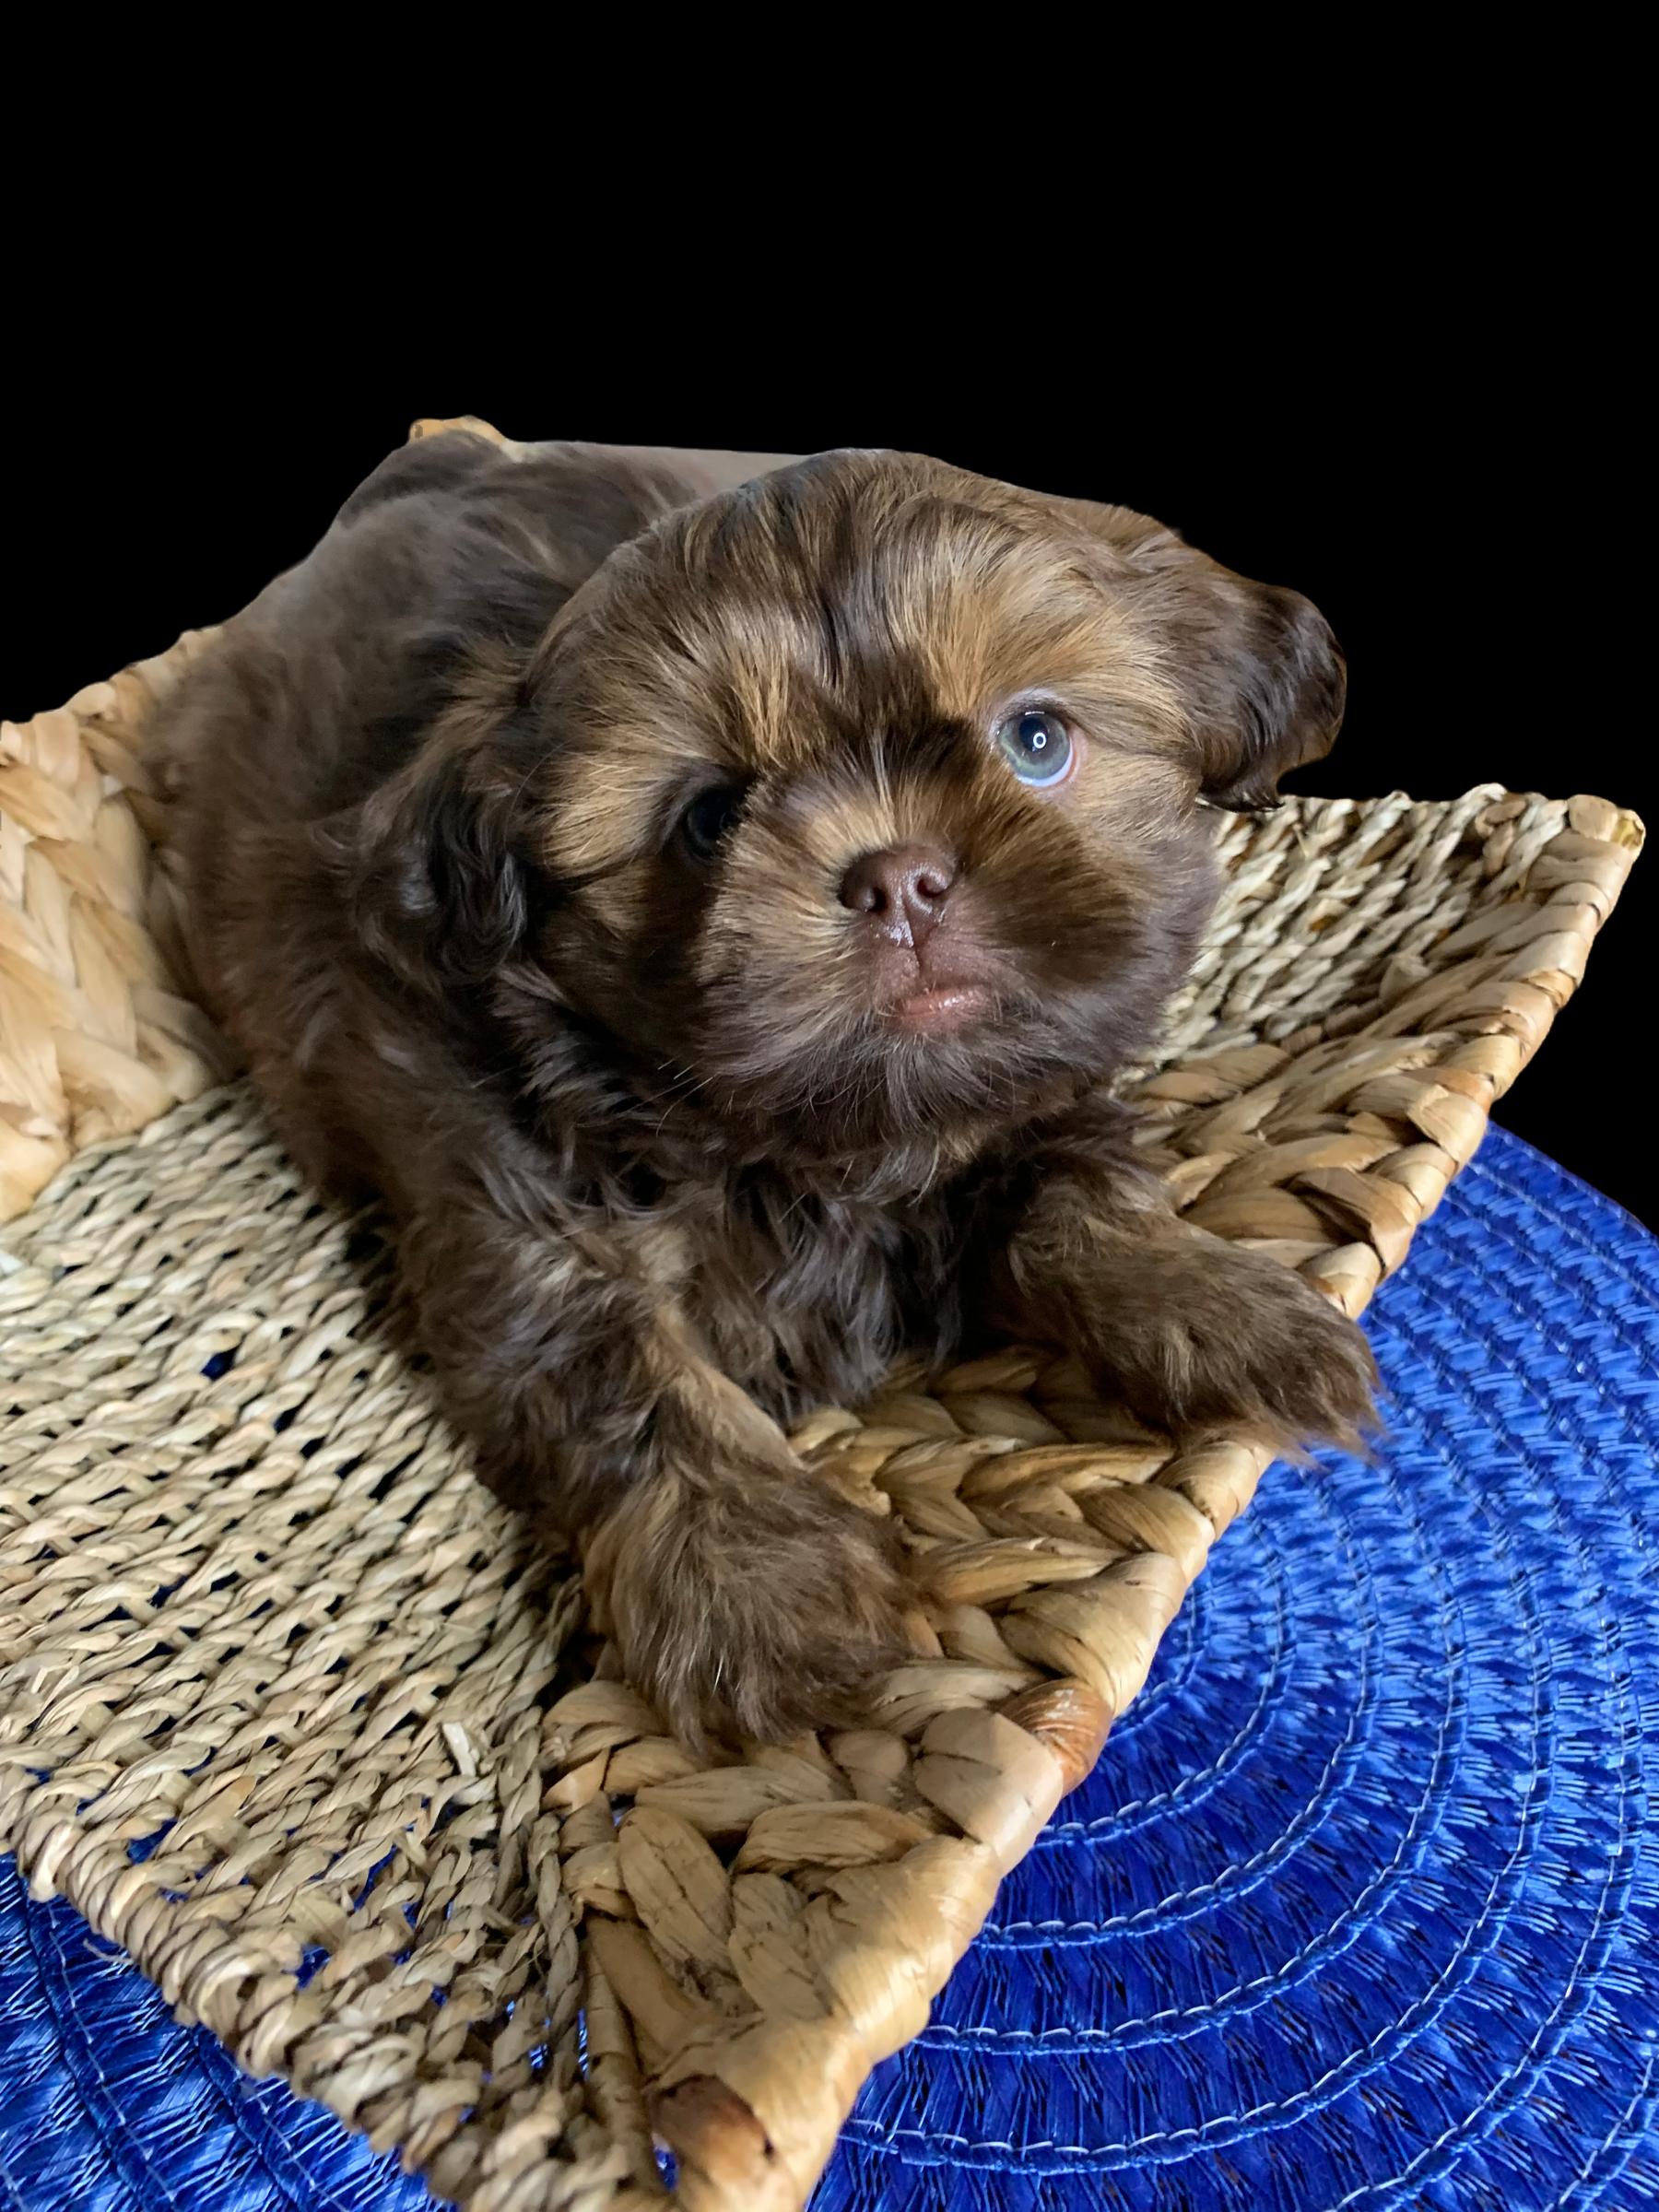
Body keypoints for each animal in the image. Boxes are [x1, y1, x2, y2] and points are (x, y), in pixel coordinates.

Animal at [156, 429, 1376, 1746]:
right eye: (707, 820)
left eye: (1037, 742)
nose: (899, 880)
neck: (833, 1143)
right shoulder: (518, 1217)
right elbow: (623, 1371)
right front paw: (758, 1583)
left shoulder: (1037, 1087)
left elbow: (1076, 1184)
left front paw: (1214, 1307)